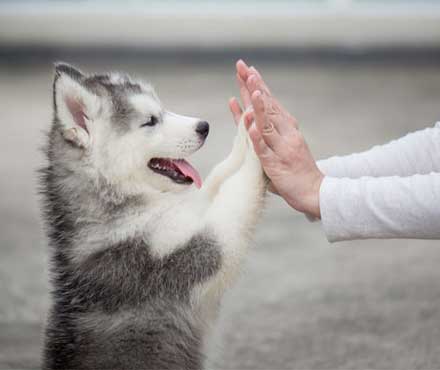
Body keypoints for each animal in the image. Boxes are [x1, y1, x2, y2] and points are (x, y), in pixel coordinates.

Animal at [41, 63, 266, 370]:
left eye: (162, 109)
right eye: (150, 121)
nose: (204, 126)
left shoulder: (189, 216)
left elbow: (216, 180)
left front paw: (244, 129)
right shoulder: (192, 252)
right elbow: (236, 195)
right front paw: (258, 136)